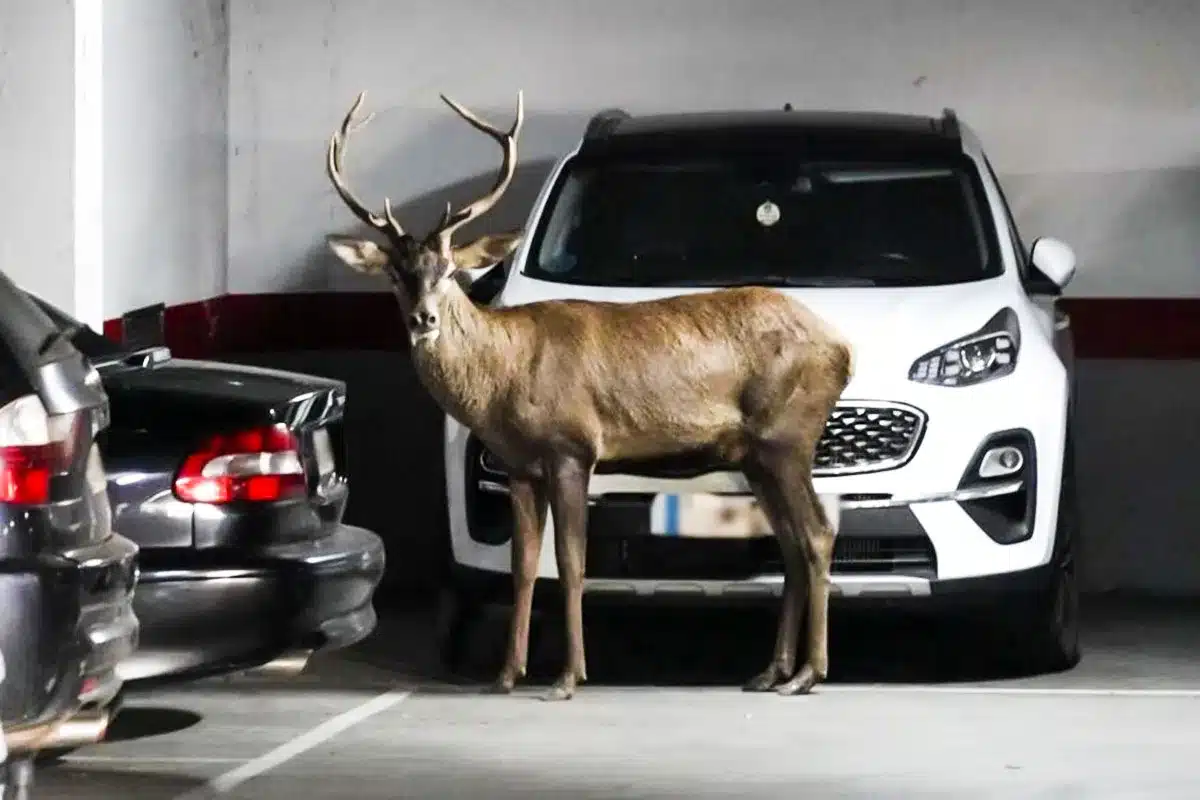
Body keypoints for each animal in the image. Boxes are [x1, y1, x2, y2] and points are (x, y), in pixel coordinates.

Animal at [323, 89, 855, 701]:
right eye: (395, 273)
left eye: (451, 269)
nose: (424, 319)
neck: (504, 372)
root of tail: (844, 348)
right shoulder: (519, 466)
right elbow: (524, 565)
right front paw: (506, 675)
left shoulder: (571, 447)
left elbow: (571, 563)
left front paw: (567, 677)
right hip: (756, 453)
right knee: (790, 542)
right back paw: (771, 672)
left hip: (788, 435)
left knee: (817, 533)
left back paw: (810, 674)